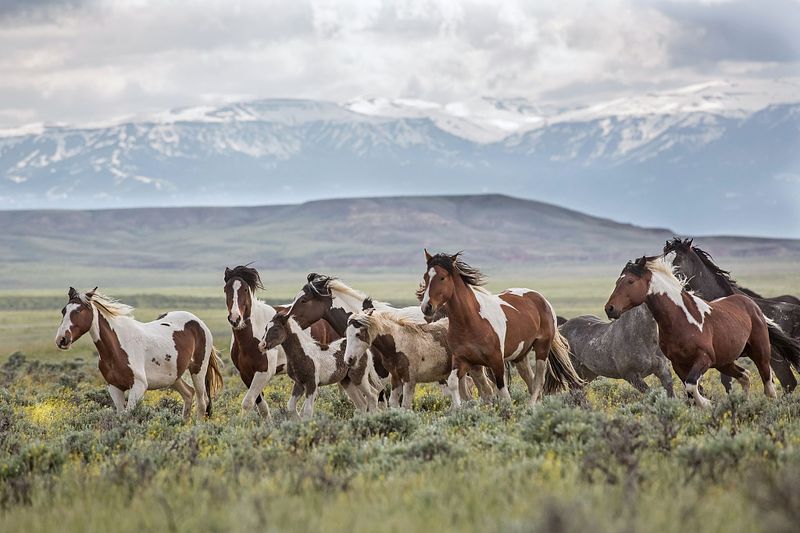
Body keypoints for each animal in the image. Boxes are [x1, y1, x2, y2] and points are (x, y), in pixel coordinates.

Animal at [55, 287, 223, 419]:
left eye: (79, 310)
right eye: (64, 311)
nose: (61, 339)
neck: (117, 347)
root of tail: (198, 322)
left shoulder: (138, 386)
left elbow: (129, 415)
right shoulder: (114, 387)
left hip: (198, 371)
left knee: (202, 402)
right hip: (174, 376)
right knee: (189, 394)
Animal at [224, 265, 337, 418]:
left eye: (245, 289)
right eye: (226, 289)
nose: (235, 319)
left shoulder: (264, 372)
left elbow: (248, 402)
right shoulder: (245, 374)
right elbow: (262, 406)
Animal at [344, 308, 494, 408]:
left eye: (358, 334)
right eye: (347, 334)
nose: (348, 360)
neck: (398, 344)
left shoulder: (409, 379)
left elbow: (405, 405)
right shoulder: (396, 378)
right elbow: (394, 403)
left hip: (475, 368)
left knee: (487, 390)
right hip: (461, 373)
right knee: (469, 396)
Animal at [419, 251, 584, 407]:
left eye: (442, 277)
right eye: (426, 277)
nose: (427, 307)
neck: (470, 322)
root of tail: (540, 298)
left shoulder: (496, 361)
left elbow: (503, 393)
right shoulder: (463, 360)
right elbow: (455, 383)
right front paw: (458, 409)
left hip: (542, 348)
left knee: (539, 381)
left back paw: (530, 406)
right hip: (520, 356)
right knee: (530, 381)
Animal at [605, 256, 800, 407]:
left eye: (630, 281)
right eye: (617, 281)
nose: (610, 309)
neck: (681, 319)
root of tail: (752, 304)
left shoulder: (704, 358)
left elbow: (692, 385)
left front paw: (707, 404)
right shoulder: (679, 364)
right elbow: (690, 390)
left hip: (760, 353)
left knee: (769, 386)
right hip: (724, 362)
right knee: (745, 376)